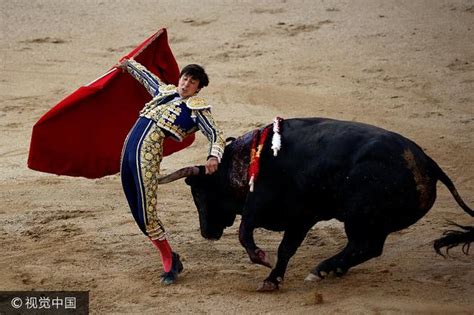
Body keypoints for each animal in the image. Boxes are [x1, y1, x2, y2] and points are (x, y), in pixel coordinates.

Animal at [158, 118, 470, 292]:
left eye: (199, 194)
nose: (206, 232)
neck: (248, 161)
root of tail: (427, 163)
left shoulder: (258, 207)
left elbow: (246, 234)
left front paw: (262, 260)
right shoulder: (302, 217)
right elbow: (285, 250)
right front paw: (272, 280)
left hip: (359, 217)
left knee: (365, 246)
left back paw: (322, 269)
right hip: (371, 222)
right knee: (368, 248)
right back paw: (332, 269)